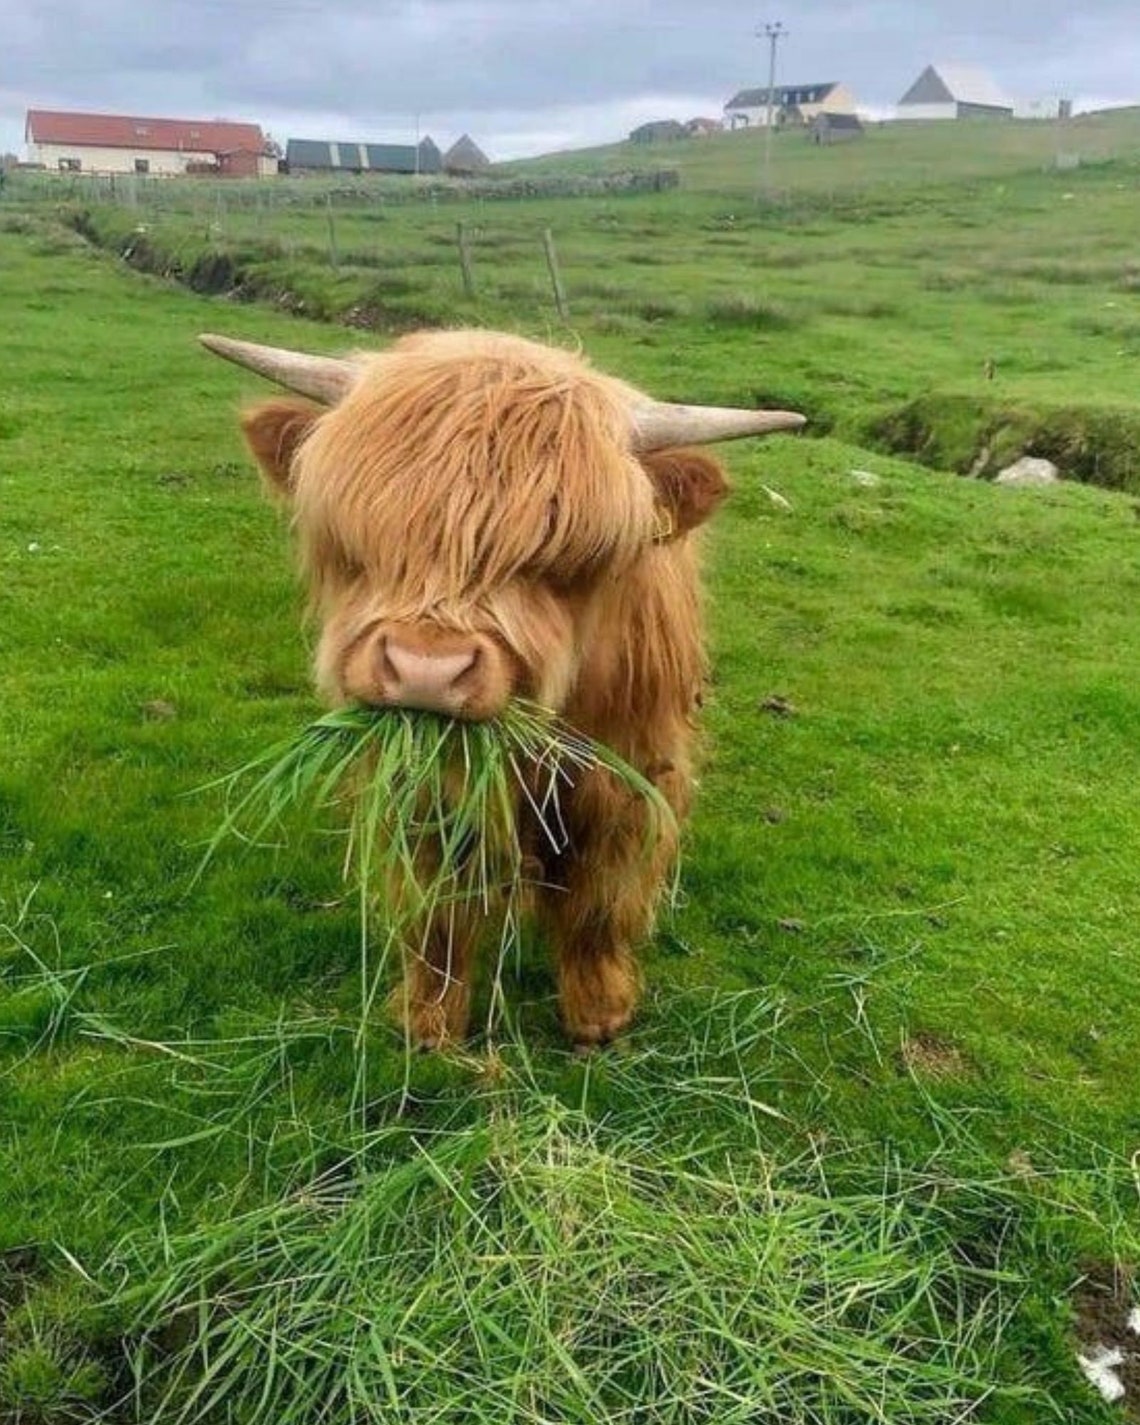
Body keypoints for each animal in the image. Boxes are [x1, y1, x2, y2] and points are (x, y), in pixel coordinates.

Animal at [202, 330, 803, 1047]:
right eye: (362, 539)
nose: (426, 669)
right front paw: (429, 1019)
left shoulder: (628, 771)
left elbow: (602, 895)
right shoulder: (424, 786)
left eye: (567, 558)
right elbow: (437, 904)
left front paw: (599, 1011)